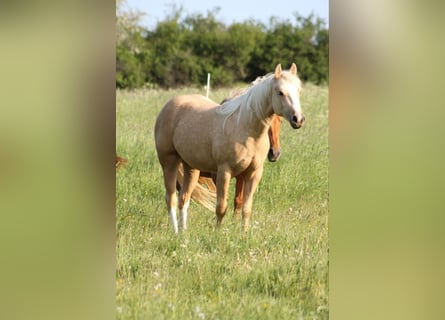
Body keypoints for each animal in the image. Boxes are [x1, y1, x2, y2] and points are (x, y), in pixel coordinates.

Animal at [154, 63, 304, 232]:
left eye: (299, 91)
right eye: (280, 92)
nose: (298, 119)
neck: (245, 129)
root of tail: (169, 105)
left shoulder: (253, 174)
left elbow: (245, 207)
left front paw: (244, 233)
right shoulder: (223, 172)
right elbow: (221, 207)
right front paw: (217, 233)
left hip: (191, 168)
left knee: (184, 198)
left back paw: (184, 232)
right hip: (169, 163)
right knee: (171, 198)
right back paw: (175, 231)